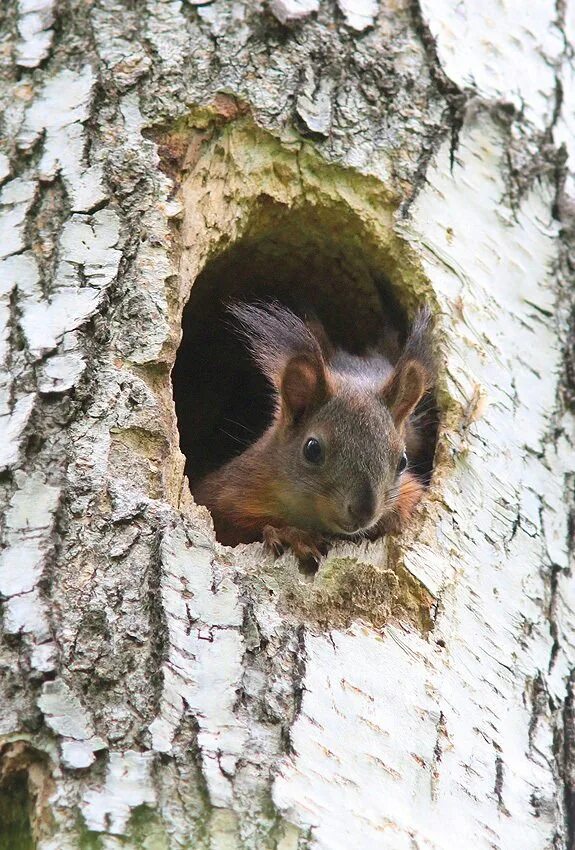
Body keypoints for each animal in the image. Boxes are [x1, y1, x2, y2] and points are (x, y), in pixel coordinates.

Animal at [195, 302, 436, 560]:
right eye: (312, 449)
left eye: (402, 461)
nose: (364, 512)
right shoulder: (228, 495)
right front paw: (291, 535)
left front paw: (394, 516)